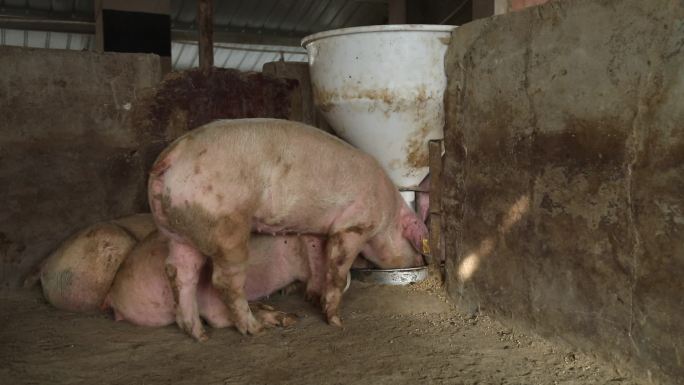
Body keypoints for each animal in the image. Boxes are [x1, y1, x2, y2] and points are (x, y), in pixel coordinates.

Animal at [149, 118, 428, 340]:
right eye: (410, 241)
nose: (420, 260)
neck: (388, 213)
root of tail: (171, 156)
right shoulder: (353, 225)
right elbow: (337, 270)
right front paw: (336, 322)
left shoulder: (314, 231)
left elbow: (317, 262)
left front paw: (313, 298)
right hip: (224, 227)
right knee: (224, 280)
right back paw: (255, 329)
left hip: (178, 231)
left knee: (179, 271)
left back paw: (199, 334)